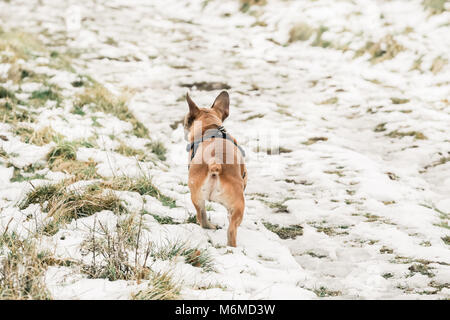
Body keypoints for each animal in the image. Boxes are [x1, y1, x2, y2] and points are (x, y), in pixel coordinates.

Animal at [183, 91, 246, 246]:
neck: (209, 127)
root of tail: (215, 163)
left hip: (197, 198)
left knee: (202, 217)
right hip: (237, 205)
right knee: (230, 229)